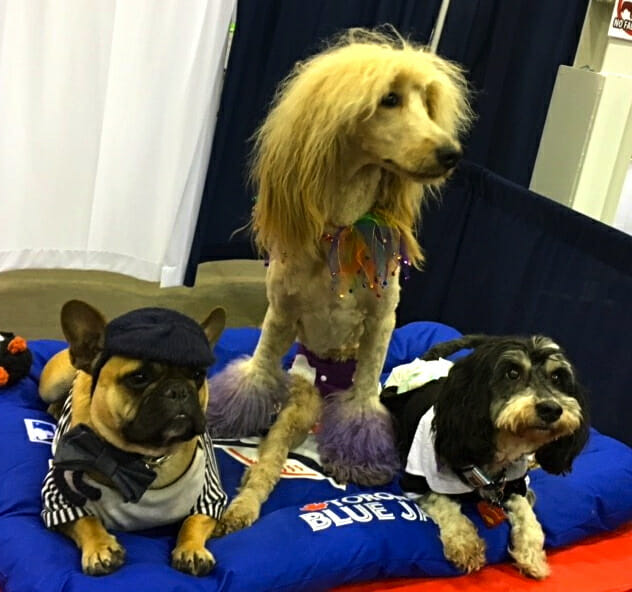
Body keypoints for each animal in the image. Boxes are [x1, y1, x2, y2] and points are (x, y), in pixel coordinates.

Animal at [380, 336, 592, 580]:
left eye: (557, 377)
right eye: (512, 373)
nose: (551, 409)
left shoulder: (515, 485)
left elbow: (529, 517)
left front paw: (531, 554)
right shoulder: (415, 482)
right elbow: (444, 503)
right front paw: (466, 543)